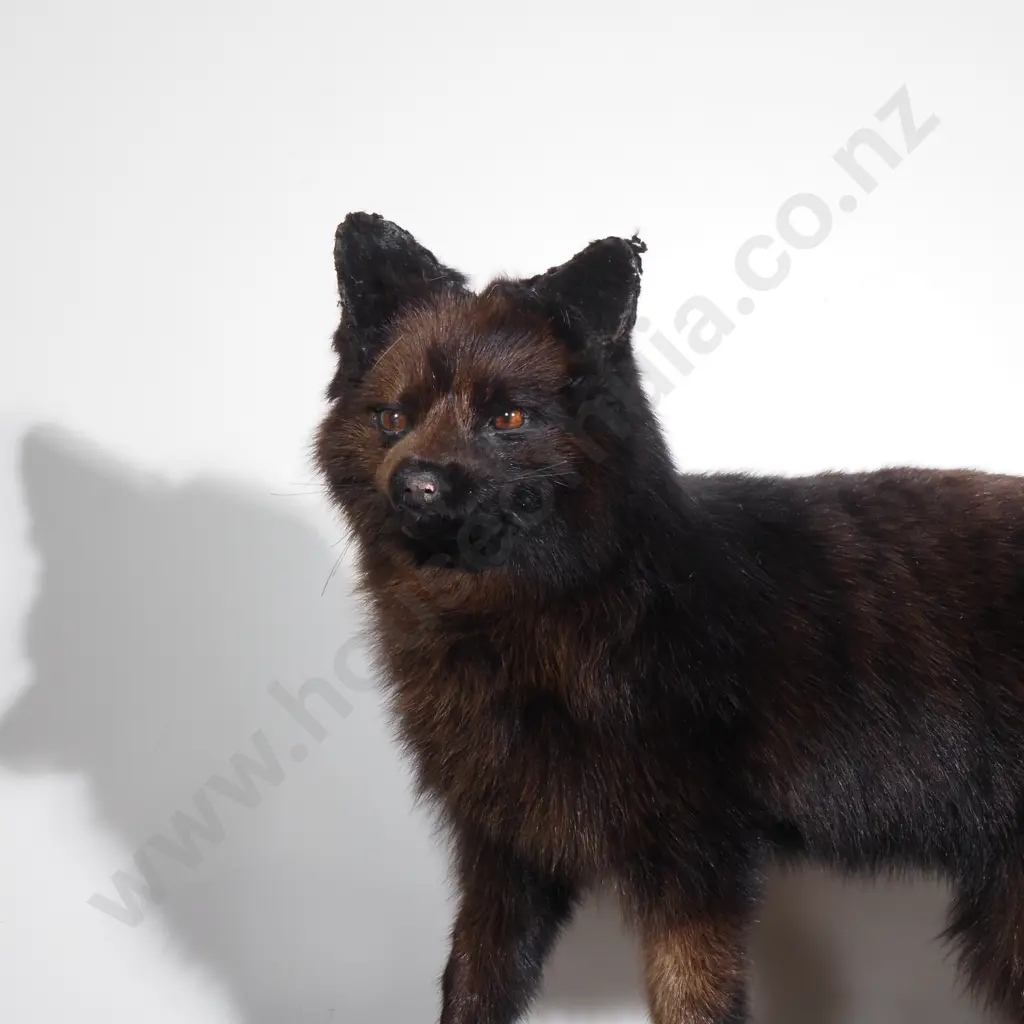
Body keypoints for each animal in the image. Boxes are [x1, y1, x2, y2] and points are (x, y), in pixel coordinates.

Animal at [315, 212, 1024, 1023]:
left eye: (507, 417)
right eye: (394, 418)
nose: (417, 486)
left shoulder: (694, 864)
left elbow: (693, 1000)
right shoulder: (505, 855)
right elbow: (472, 984)